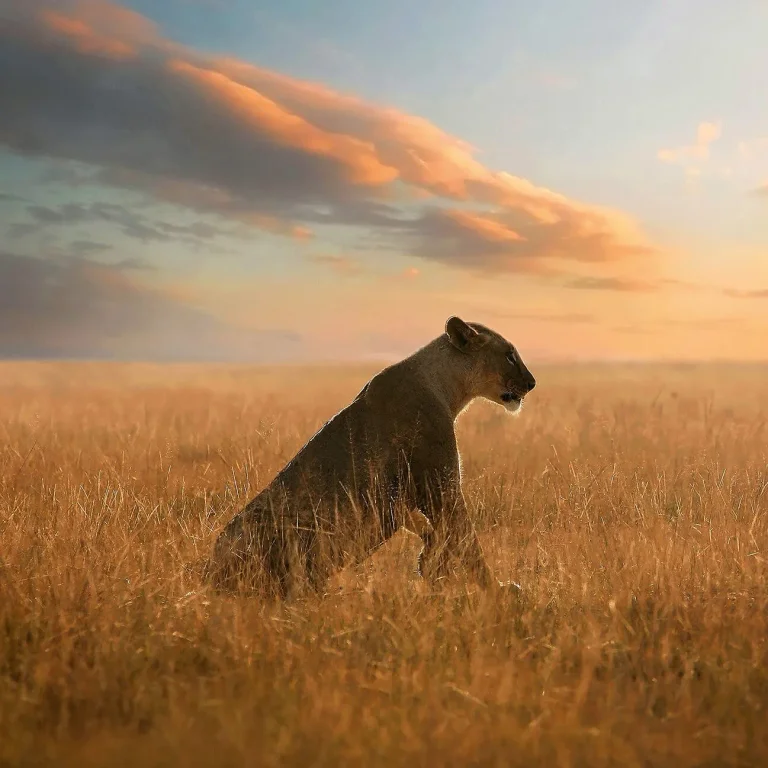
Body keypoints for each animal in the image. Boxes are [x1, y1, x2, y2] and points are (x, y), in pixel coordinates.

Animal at [205, 316, 536, 599]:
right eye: (509, 355)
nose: (532, 383)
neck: (447, 386)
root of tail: (208, 575)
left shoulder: (404, 496)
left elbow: (434, 532)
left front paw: (431, 561)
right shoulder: (440, 482)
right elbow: (468, 540)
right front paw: (497, 589)